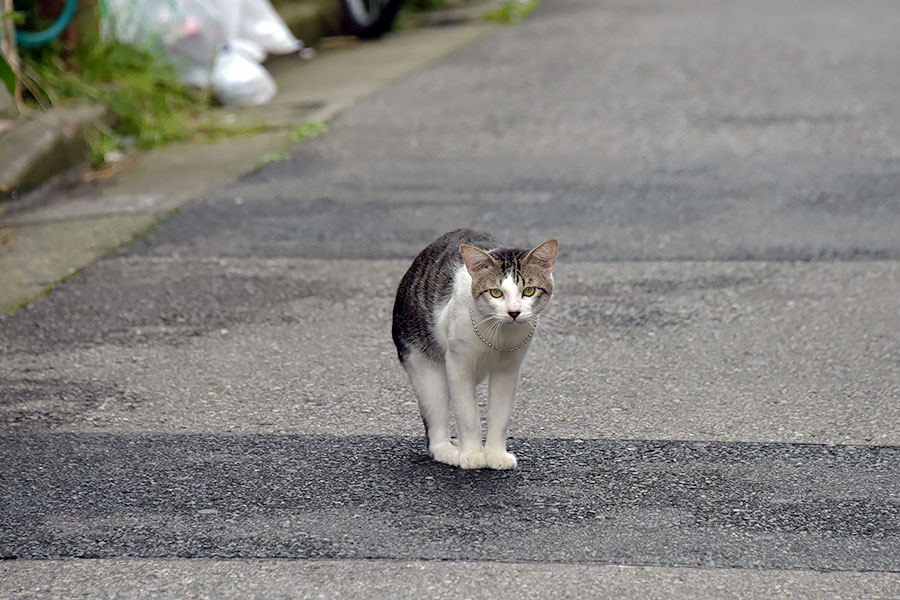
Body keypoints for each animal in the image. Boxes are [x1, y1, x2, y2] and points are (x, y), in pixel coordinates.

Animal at [392, 230, 560, 468]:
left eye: (528, 291)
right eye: (496, 293)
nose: (514, 312)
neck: (499, 335)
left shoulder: (508, 369)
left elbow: (500, 414)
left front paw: (496, 454)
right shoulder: (457, 365)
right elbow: (468, 415)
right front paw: (472, 454)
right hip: (422, 364)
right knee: (435, 426)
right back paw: (448, 450)